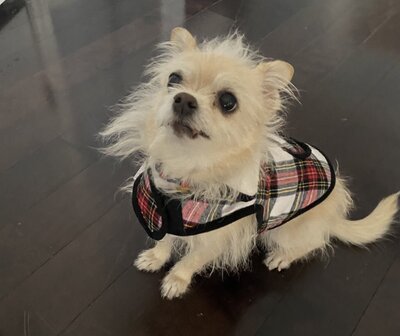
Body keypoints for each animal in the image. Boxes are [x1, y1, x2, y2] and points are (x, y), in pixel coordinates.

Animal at [101, 26, 398, 300]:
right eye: (173, 79)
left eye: (228, 102)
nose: (183, 99)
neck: (187, 166)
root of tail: (333, 216)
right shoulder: (164, 215)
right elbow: (165, 240)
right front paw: (156, 257)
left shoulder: (217, 237)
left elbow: (192, 260)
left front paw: (177, 280)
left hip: (285, 232)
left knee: (315, 242)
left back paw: (284, 256)